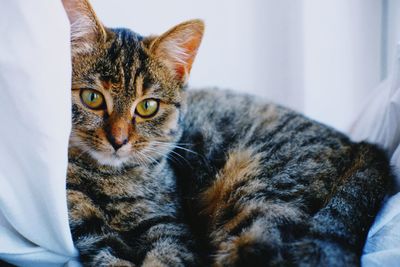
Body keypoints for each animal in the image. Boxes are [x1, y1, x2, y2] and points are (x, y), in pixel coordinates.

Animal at [64, 0, 392, 267]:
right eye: (92, 98)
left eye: (147, 106)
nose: (118, 140)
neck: (114, 181)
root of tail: (358, 144)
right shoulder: (85, 224)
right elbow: (108, 254)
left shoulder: (170, 225)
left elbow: (169, 255)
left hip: (262, 191)